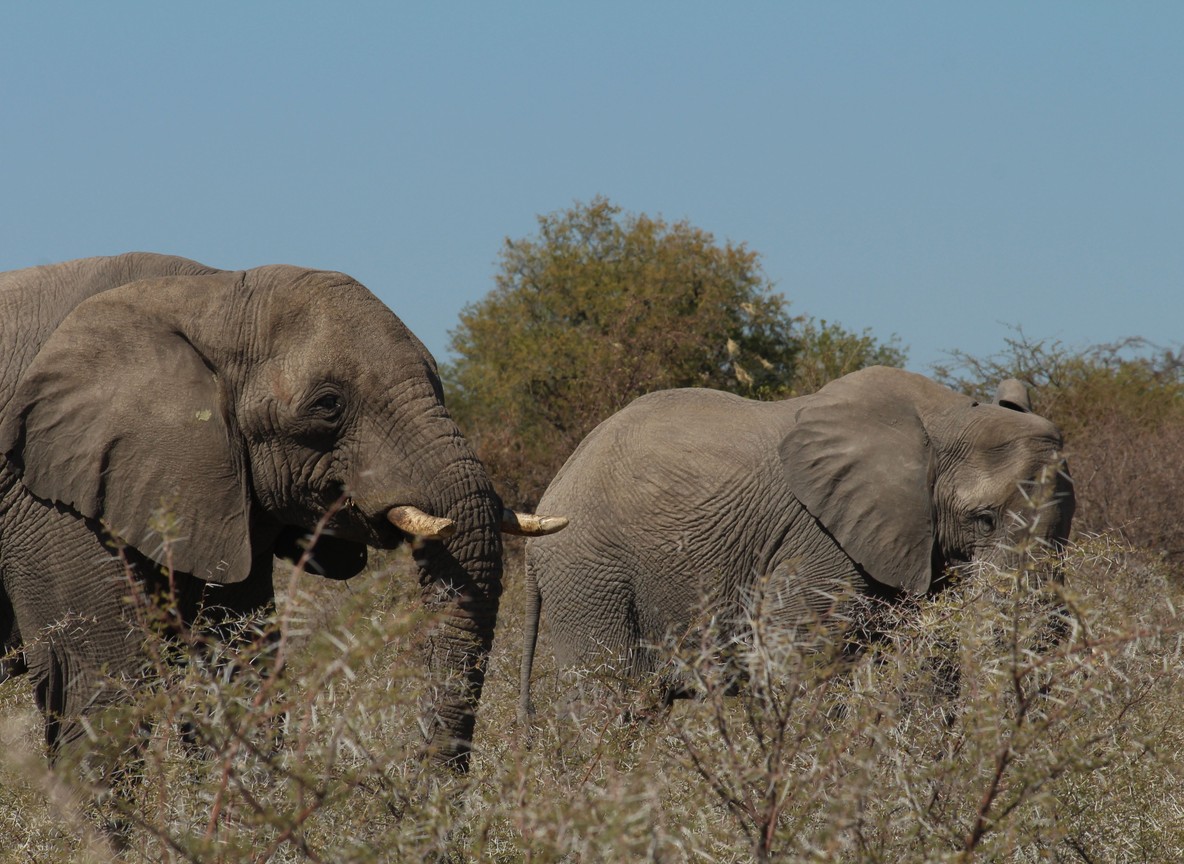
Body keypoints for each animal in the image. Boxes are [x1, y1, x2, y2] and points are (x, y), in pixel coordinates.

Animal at [519, 366, 1074, 718]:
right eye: (983, 520)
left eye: (1067, 531)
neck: (950, 417)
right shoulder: (819, 538)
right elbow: (801, 665)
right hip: (590, 577)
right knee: (609, 702)